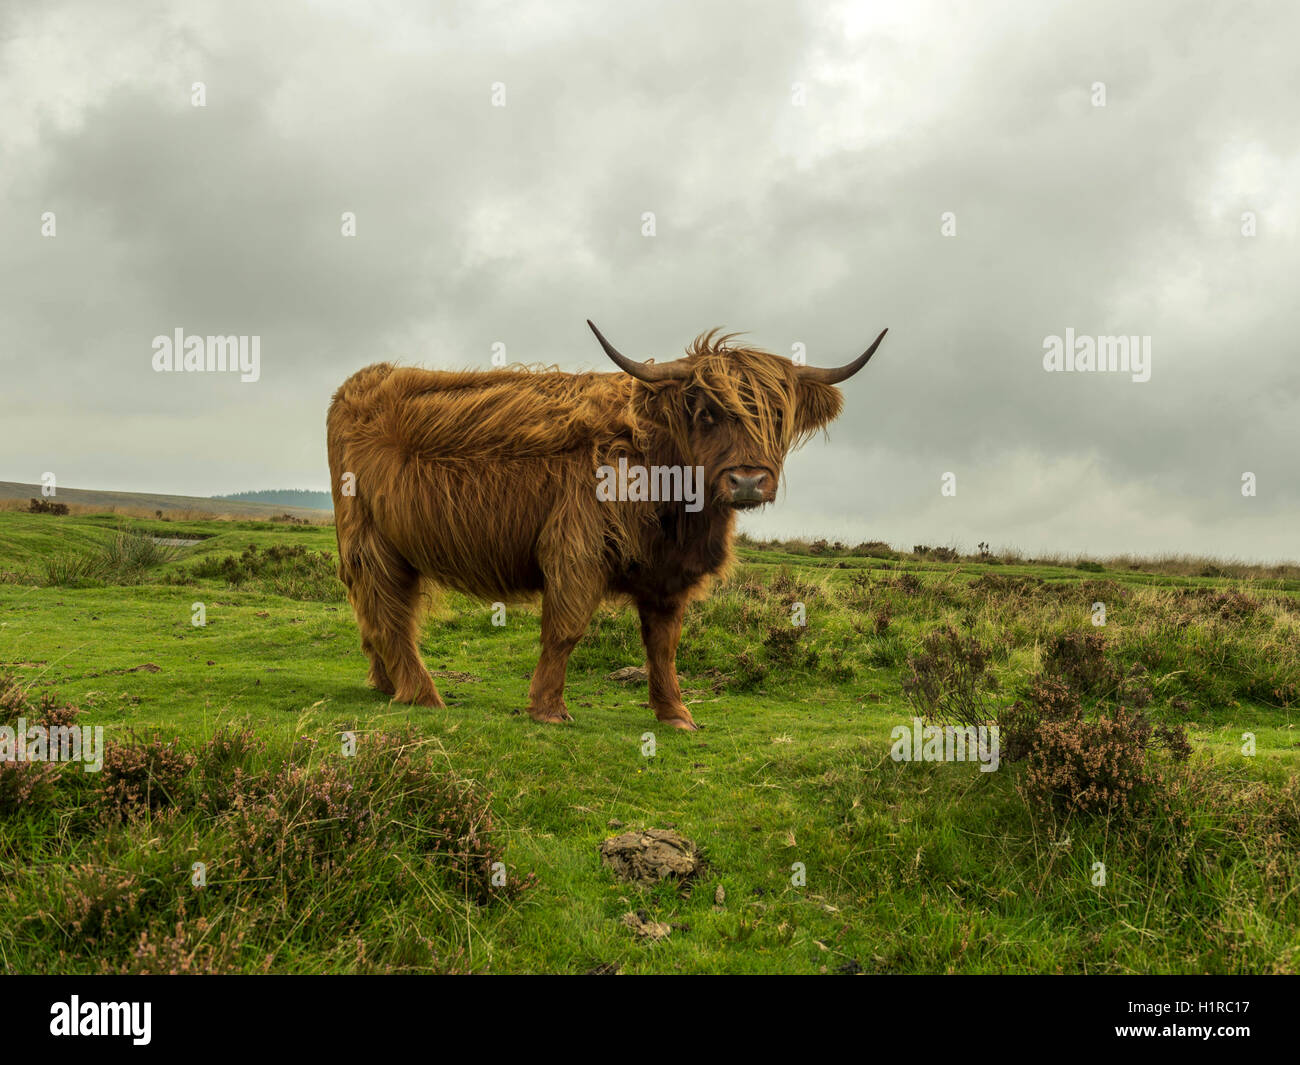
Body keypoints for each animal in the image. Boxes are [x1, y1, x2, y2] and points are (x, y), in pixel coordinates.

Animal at [327, 321, 883, 728]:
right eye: (706, 412)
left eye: (777, 418)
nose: (748, 481)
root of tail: (361, 382)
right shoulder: (576, 550)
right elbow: (566, 630)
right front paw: (548, 710)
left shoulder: (668, 575)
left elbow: (664, 644)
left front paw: (676, 715)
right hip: (370, 541)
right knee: (388, 612)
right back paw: (422, 695)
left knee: (378, 613)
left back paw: (384, 683)